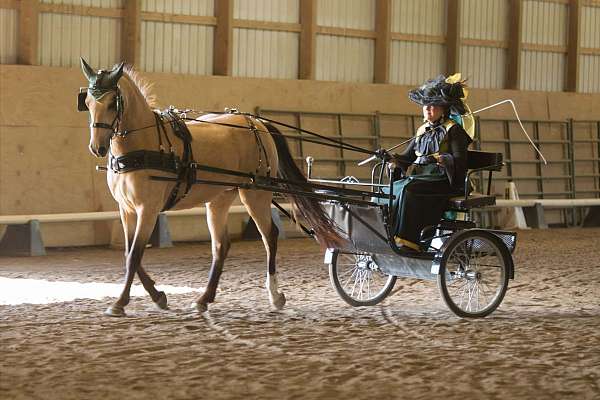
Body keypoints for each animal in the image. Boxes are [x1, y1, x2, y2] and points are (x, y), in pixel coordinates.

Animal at [79, 58, 340, 316]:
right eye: (88, 102)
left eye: (112, 103)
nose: (97, 147)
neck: (144, 145)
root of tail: (257, 122)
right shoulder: (127, 210)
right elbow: (129, 253)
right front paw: (158, 295)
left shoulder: (148, 209)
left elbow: (134, 255)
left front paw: (120, 302)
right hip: (219, 198)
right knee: (220, 245)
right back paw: (204, 299)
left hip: (255, 194)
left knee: (269, 236)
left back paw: (275, 295)